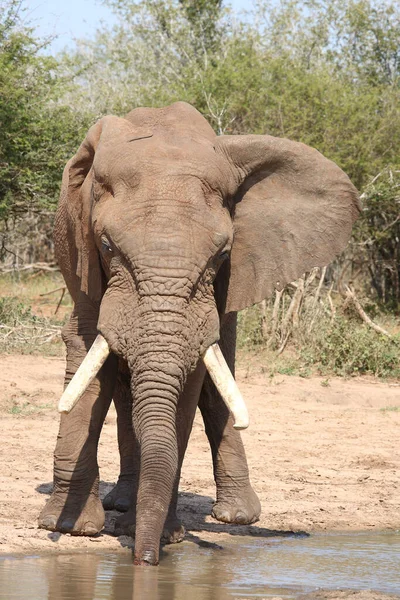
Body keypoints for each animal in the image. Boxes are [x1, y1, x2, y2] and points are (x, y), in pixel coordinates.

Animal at [38, 101, 360, 564]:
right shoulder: (79, 251)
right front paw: (70, 529)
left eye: (222, 254)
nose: (144, 562)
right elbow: (85, 356)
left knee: (215, 384)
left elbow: (191, 385)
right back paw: (125, 503)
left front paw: (160, 537)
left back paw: (235, 516)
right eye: (107, 246)